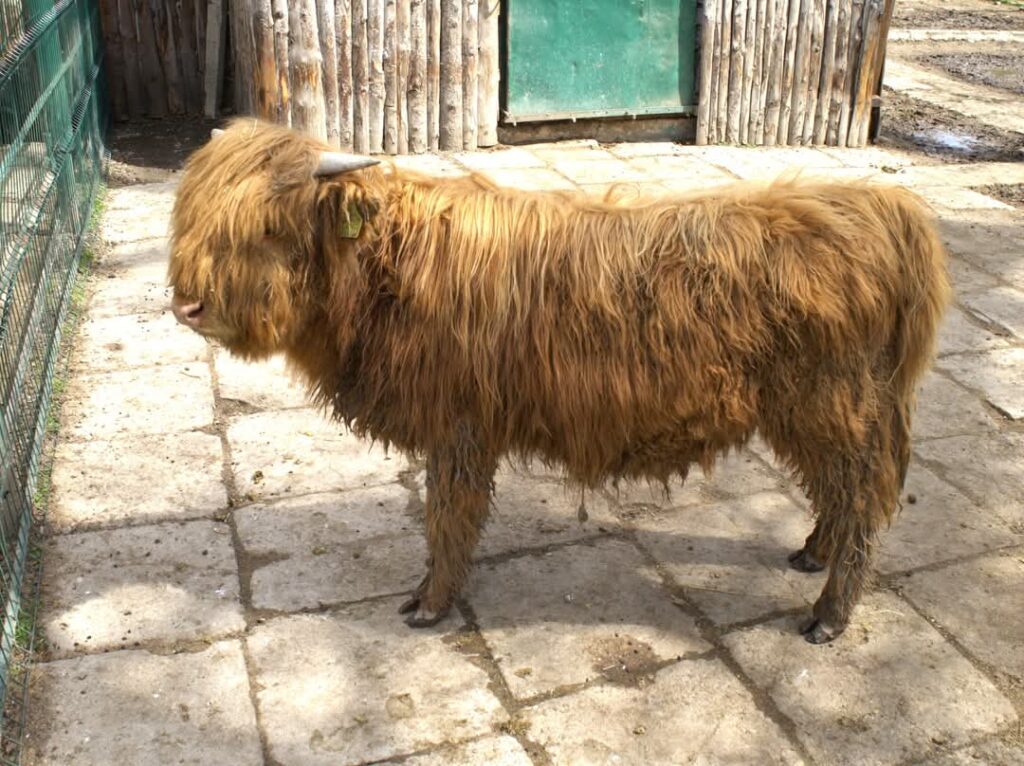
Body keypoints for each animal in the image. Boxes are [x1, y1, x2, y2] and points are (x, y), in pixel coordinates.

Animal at [168, 119, 950, 643]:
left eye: (270, 227)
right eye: (194, 215)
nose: (188, 305)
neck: (384, 273)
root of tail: (881, 208)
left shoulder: (459, 426)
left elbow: (446, 515)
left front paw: (430, 602)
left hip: (832, 406)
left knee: (860, 501)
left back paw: (828, 615)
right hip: (823, 414)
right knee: (840, 494)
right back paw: (811, 553)